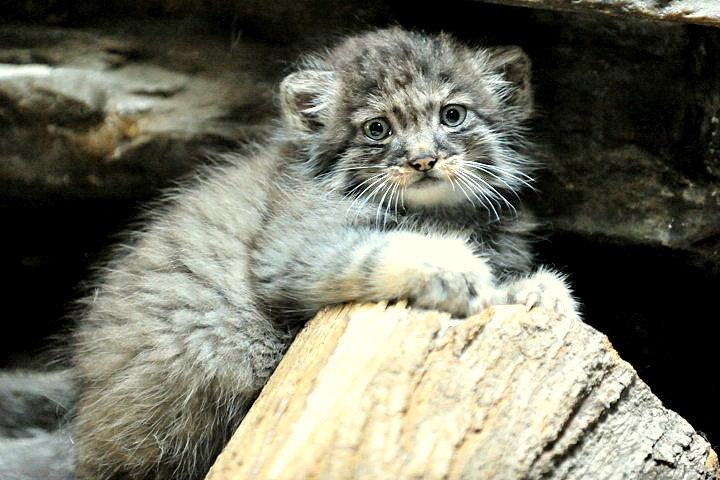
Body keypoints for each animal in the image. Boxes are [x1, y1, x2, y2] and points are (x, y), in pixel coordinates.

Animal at [69, 27, 580, 480]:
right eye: (377, 129)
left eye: (452, 115)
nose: (422, 160)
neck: (441, 213)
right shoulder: (296, 248)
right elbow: (383, 249)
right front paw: (456, 270)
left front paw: (539, 291)